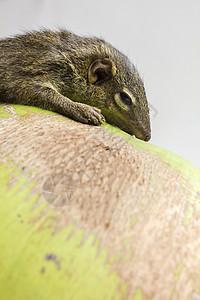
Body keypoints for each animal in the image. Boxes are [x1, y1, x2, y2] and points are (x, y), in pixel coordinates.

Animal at [0, 28, 150, 141]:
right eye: (126, 98)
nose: (147, 136)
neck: (77, 61)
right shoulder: (39, 69)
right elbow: (40, 92)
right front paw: (82, 109)